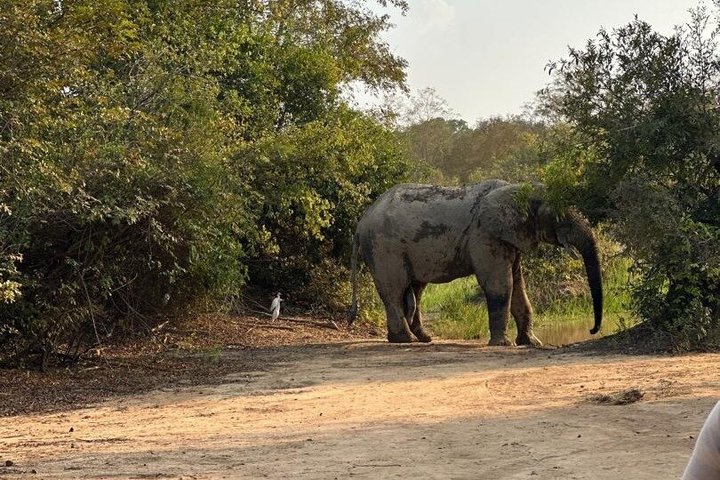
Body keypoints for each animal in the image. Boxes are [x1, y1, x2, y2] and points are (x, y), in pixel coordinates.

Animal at [347, 180, 603, 346]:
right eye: (560, 217)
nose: (591, 330)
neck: (518, 189)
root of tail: (361, 222)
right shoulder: (485, 235)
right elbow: (501, 285)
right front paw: (504, 344)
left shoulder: (508, 236)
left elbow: (519, 286)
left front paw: (532, 343)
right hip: (384, 248)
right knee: (395, 291)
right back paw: (404, 340)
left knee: (415, 290)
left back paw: (422, 339)